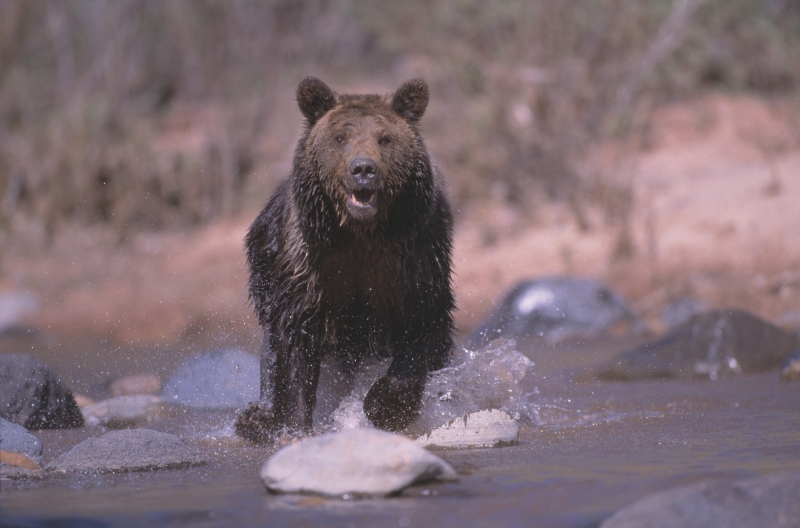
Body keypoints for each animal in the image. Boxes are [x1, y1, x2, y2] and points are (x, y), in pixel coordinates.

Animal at [234, 76, 454, 444]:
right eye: (340, 137)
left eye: (385, 138)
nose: (363, 169)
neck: (360, 232)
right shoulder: (306, 264)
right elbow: (295, 342)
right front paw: (297, 427)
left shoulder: (415, 254)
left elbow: (418, 323)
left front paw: (386, 405)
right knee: (273, 348)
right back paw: (257, 418)